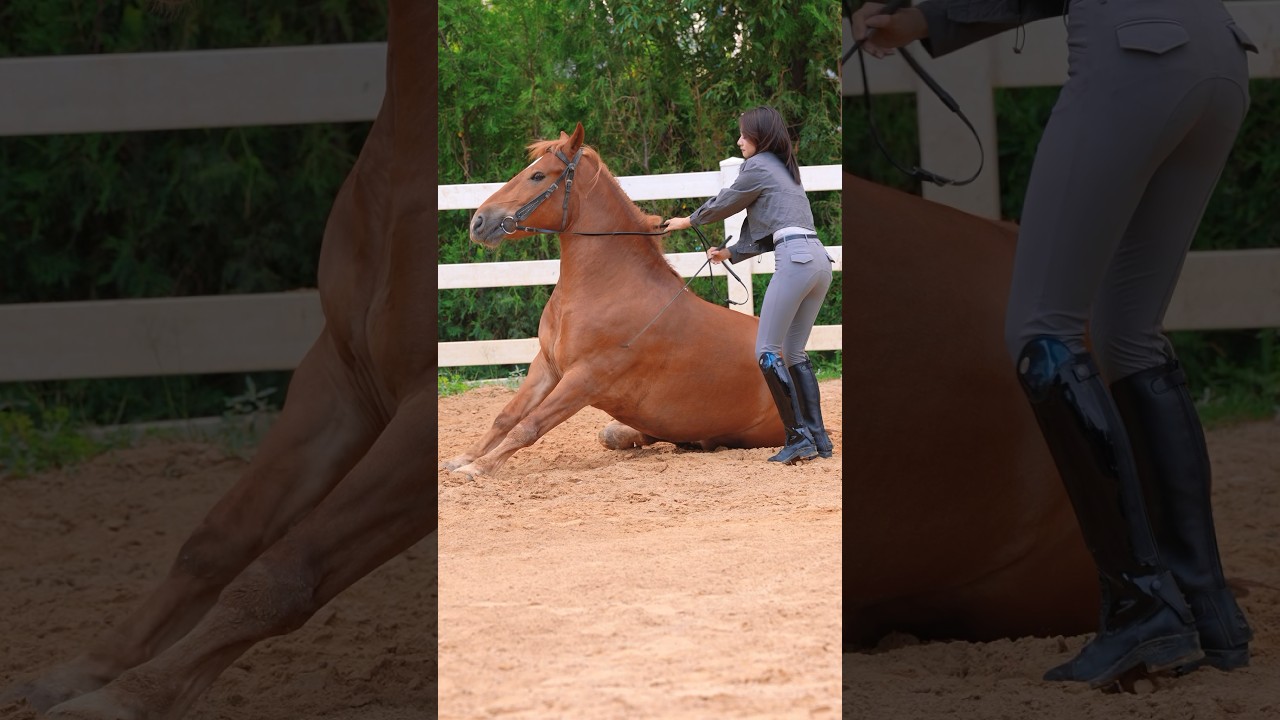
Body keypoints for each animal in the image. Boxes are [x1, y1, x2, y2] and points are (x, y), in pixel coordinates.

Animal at [1, 2, 435, 718]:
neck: (405, 175)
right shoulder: (339, 381)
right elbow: (214, 542)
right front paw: (72, 678)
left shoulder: (422, 412)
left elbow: (284, 573)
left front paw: (120, 702)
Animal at [442, 122, 799, 478]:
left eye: (538, 175)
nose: (479, 222)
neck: (606, 289)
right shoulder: (546, 366)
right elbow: (506, 416)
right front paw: (460, 459)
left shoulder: (585, 379)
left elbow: (529, 426)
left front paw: (477, 468)